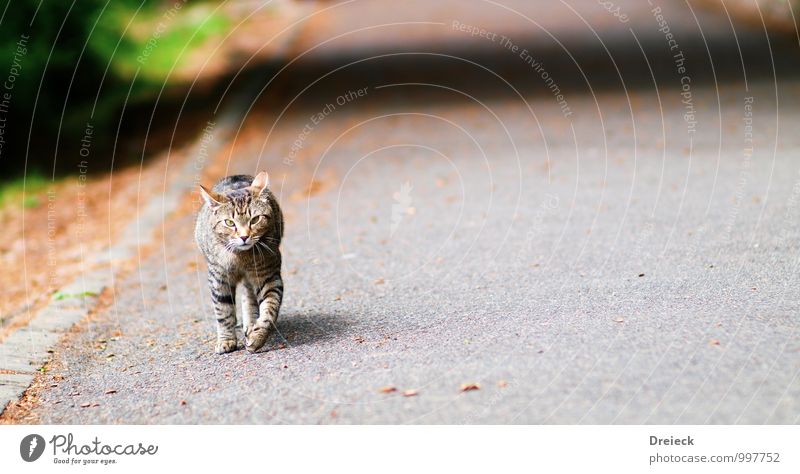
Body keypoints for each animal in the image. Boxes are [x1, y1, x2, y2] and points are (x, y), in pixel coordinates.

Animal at [195, 172, 286, 354]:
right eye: (230, 223)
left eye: (255, 219)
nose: (244, 236)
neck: (241, 257)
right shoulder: (218, 278)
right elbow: (223, 311)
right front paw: (226, 340)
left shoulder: (268, 275)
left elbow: (269, 309)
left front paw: (258, 336)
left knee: (249, 294)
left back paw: (250, 323)